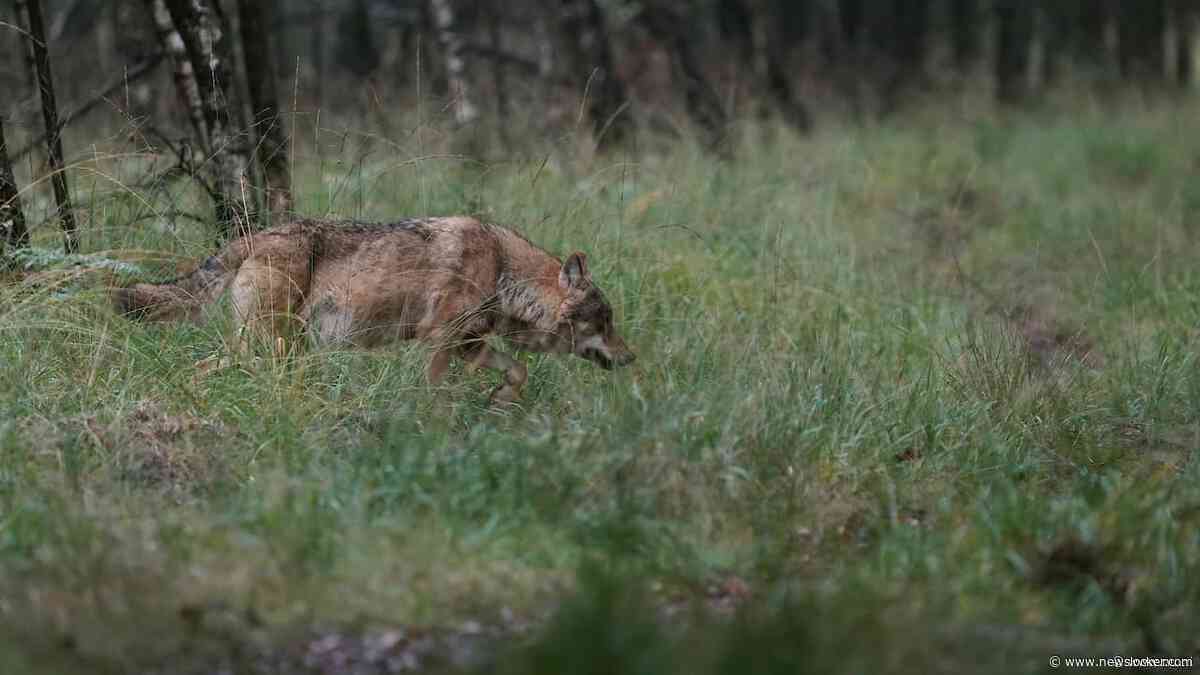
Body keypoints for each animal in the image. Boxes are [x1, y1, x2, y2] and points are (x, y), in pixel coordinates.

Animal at [114, 216, 636, 403]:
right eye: (605, 322)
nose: (632, 359)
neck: (503, 272)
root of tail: (254, 236)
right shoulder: (440, 344)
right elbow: (433, 392)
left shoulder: (470, 346)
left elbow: (519, 370)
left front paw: (501, 401)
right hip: (270, 346)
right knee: (203, 368)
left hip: (276, 349)